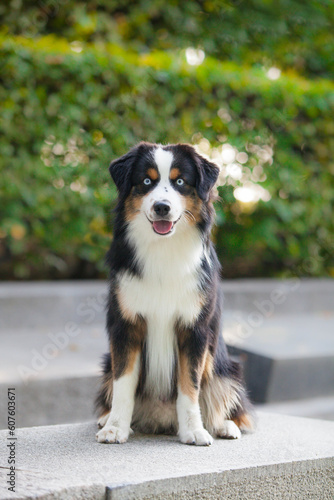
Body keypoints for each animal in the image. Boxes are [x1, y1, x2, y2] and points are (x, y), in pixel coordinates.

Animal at [95, 141, 254, 446]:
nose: (162, 207)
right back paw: (105, 419)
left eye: (180, 182)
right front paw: (115, 428)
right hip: (107, 363)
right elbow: (123, 384)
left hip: (226, 368)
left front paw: (194, 431)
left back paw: (224, 425)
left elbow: (189, 387)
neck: (163, 248)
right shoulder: (126, 325)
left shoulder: (194, 329)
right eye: (146, 182)